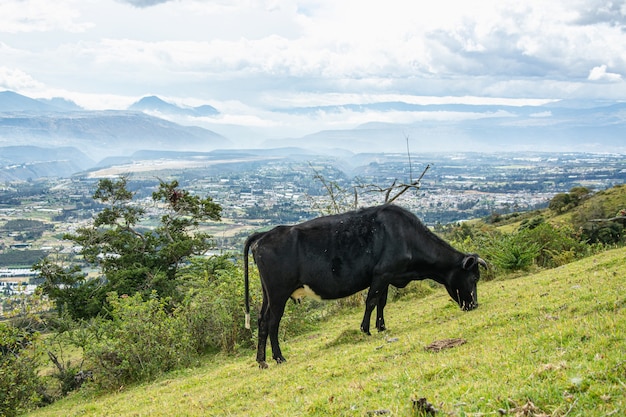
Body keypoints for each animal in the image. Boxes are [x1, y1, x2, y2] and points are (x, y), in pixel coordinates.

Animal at [243, 204, 482, 368]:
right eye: (474, 278)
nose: (474, 305)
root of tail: (264, 234)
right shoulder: (382, 273)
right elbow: (371, 301)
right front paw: (365, 329)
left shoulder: (388, 276)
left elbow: (382, 302)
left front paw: (381, 327)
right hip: (279, 292)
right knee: (273, 322)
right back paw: (278, 357)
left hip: (268, 293)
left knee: (262, 320)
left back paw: (262, 361)